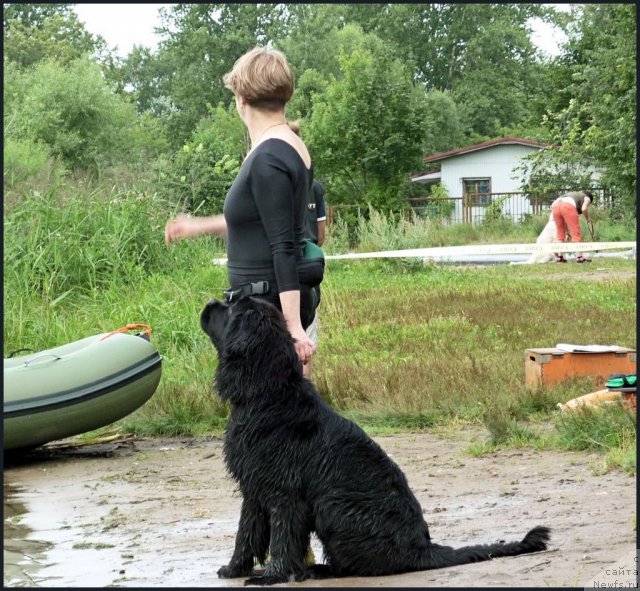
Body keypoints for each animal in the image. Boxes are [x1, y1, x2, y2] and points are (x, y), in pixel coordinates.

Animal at [201, 298, 552, 584]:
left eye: (231, 309)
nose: (211, 302)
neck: (267, 396)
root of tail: (422, 548)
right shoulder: (254, 490)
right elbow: (245, 535)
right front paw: (234, 569)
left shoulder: (285, 495)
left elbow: (282, 540)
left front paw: (271, 576)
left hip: (332, 507)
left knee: (356, 566)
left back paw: (316, 570)